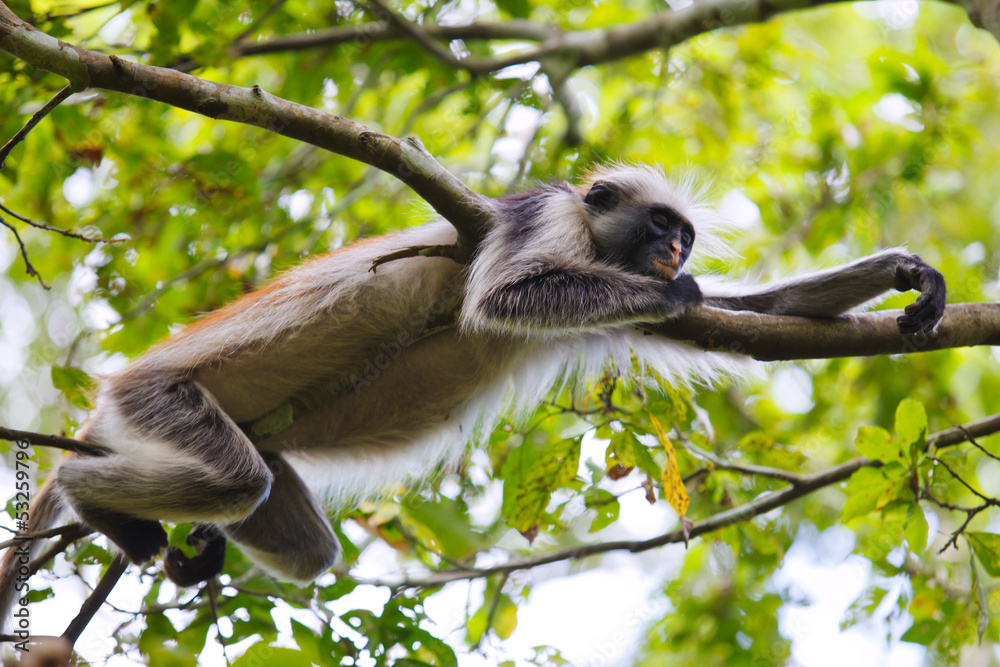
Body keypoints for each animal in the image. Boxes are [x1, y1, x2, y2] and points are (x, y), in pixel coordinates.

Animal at [0, 164, 945, 613]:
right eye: (660, 226)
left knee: (292, 530)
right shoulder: (540, 218)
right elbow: (502, 300)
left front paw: (907, 274)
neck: (596, 246)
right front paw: (679, 291)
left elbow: (754, 319)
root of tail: (109, 397)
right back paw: (90, 495)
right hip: (164, 397)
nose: (677, 252)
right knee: (231, 477)